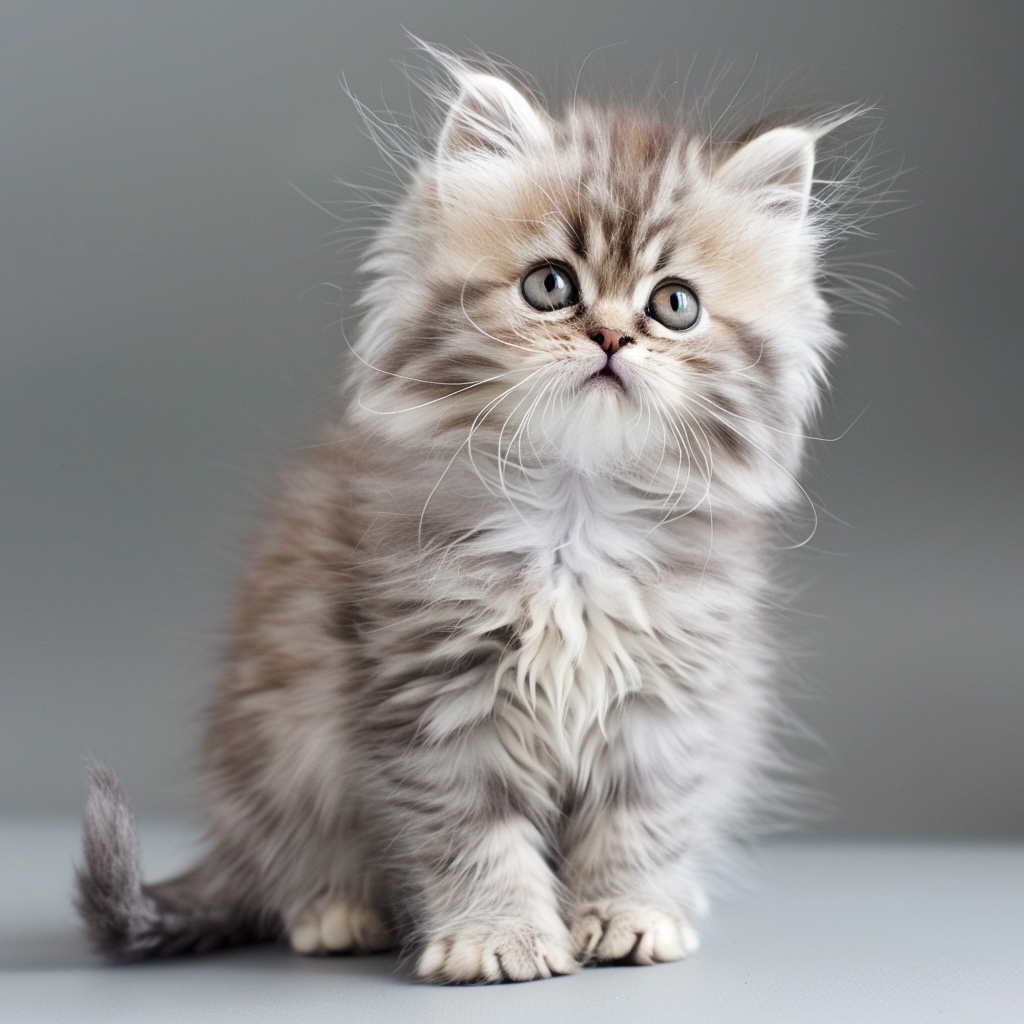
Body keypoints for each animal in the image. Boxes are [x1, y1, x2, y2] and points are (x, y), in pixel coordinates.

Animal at [75, 48, 847, 983]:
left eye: (674, 305)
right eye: (551, 286)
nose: (611, 338)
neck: (573, 513)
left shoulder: (668, 703)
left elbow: (640, 820)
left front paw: (630, 914)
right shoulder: (436, 692)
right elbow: (474, 835)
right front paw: (499, 936)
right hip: (280, 752)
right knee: (288, 865)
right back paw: (336, 912)